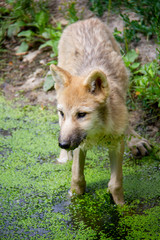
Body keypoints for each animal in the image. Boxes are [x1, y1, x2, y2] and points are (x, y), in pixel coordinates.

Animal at [50, 17, 151, 205]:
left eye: (81, 115)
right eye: (62, 113)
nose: (63, 144)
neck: (97, 133)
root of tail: (85, 20)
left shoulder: (117, 144)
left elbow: (115, 184)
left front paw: (121, 206)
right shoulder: (79, 145)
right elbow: (77, 179)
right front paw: (73, 198)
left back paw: (136, 141)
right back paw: (63, 157)